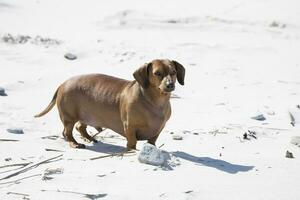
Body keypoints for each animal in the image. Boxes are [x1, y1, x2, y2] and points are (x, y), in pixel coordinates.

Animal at [35, 58, 185, 149]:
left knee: (80, 127)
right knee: (67, 131)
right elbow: (132, 142)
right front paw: (131, 151)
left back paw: (90, 139)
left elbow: (152, 141)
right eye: (157, 73)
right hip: (69, 117)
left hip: (87, 115)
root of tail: (63, 84)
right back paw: (74, 143)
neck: (154, 102)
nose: (170, 85)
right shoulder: (129, 127)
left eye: (173, 72)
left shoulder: (157, 131)